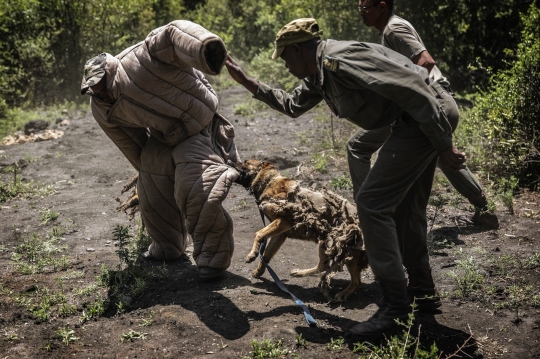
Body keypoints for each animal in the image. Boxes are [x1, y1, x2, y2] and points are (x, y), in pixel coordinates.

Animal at [230, 159, 370, 302]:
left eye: (245, 162)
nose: (229, 161)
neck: (269, 182)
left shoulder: (285, 220)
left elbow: (258, 234)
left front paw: (252, 255)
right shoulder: (281, 233)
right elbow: (267, 254)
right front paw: (259, 271)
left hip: (347, 250)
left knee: (356, 281)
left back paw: (343, 293)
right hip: (326, 243)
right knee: (323, 266)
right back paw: (299, 273)